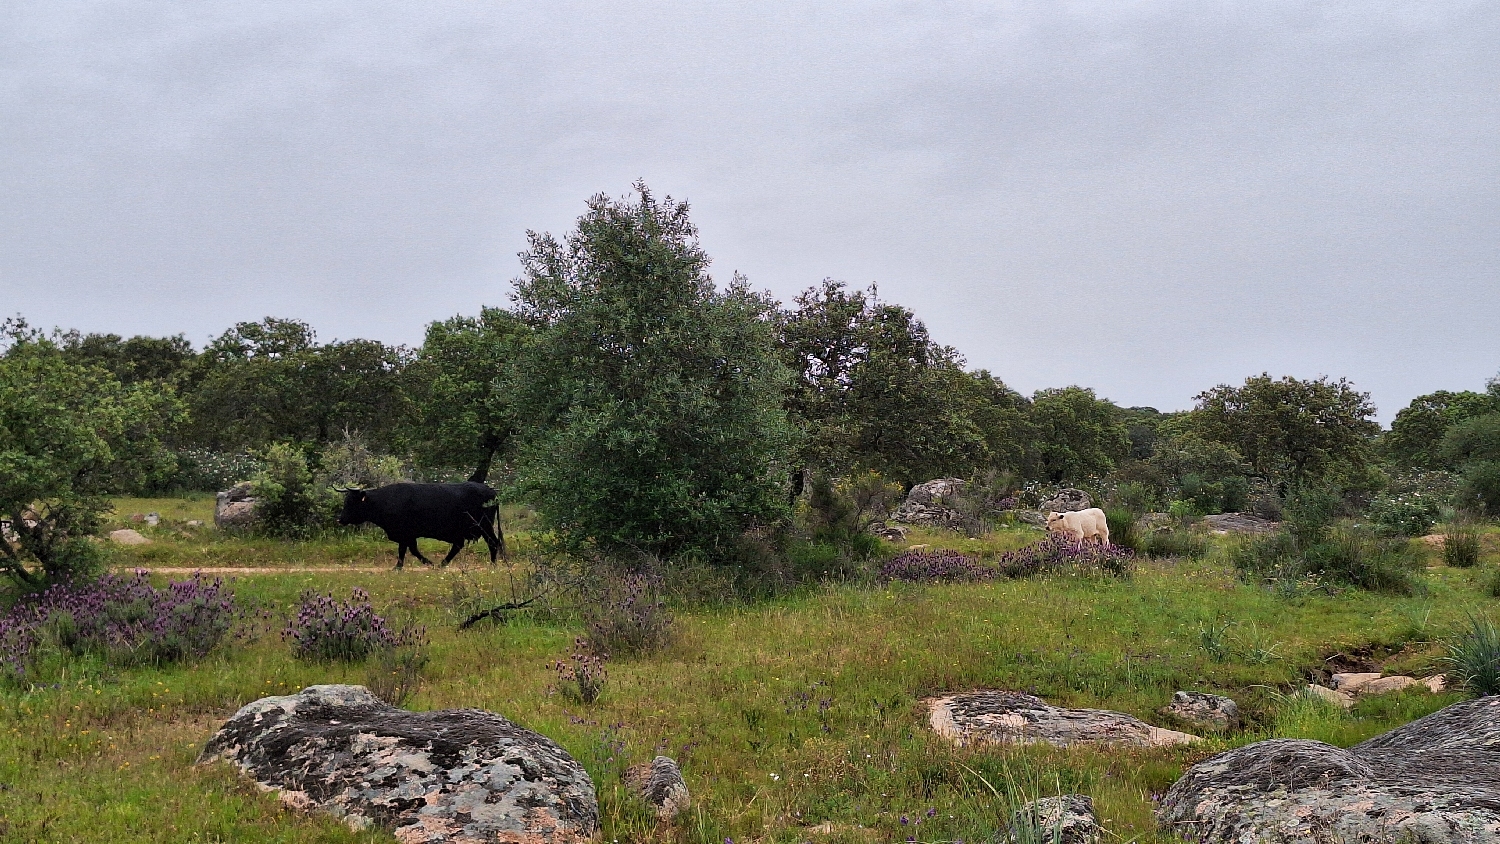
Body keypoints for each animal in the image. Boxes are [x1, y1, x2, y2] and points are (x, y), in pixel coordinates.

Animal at [337, 482, 507, 566]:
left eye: (351, 502)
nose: (340, 519)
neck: (385, 500)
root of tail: (491, 491)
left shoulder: (405, 533)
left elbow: (404, 551)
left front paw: (399, 567)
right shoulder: (408, 535)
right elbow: (411, 550)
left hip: (485, 526)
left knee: (492, 543)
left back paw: (492, 565)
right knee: (458, 545)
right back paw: (442, 564)